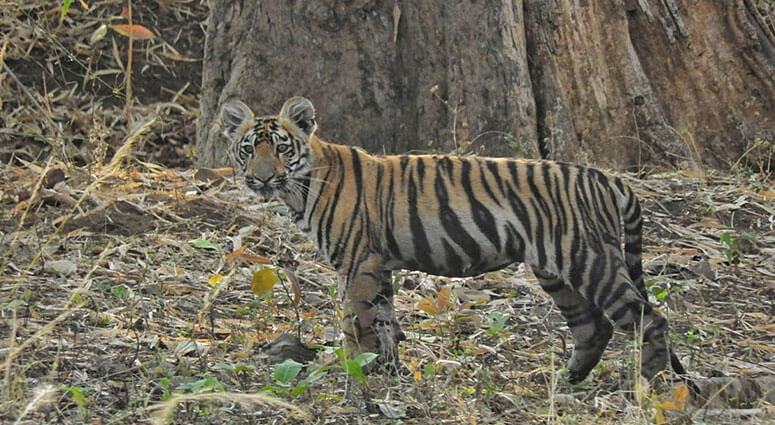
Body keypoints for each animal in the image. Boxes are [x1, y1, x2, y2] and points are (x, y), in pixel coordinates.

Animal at [218, 95, 692, 384]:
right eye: (248, 149)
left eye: (281, 148)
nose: (261, 179)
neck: (302, 185)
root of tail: (606, 178)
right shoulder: (378, 267)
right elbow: (385, 323)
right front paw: (389, 374)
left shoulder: (357, 264)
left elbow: (357, 323)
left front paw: (357, 373)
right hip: (555, 269)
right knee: (593, 327)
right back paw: (567, 382)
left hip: (588, 259)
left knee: (650, 320)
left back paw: (654, 386)